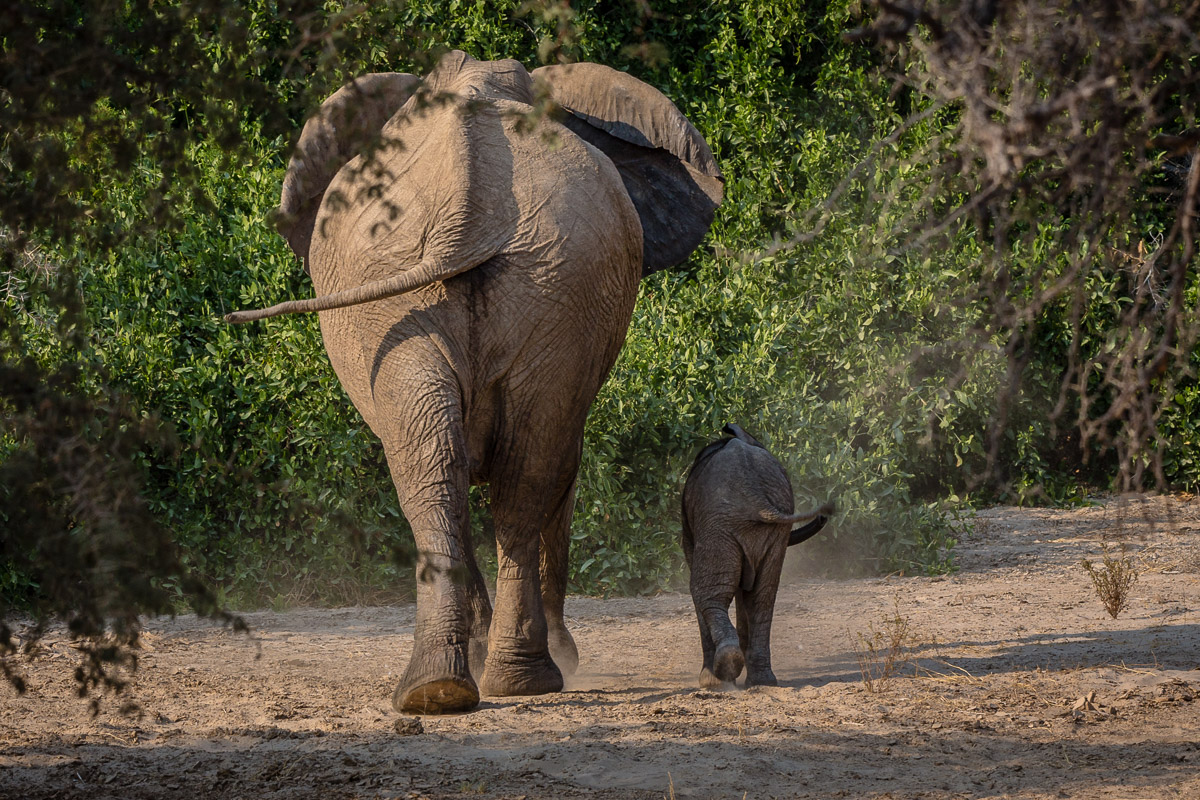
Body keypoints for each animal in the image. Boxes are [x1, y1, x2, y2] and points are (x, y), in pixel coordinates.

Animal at [226, 50, 720, 714]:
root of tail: (468, 202)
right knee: (481, 470)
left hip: (529, 284)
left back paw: (465, 686)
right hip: (475, 288)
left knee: (464, 470)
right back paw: (479, 684)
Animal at [686, 422, 835, 690]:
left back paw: (720, 675)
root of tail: (755, 497)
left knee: (707, 593)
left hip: (719, 526)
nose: (823, 515)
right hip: (771, 530)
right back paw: (760, 681)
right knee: (762, 596)